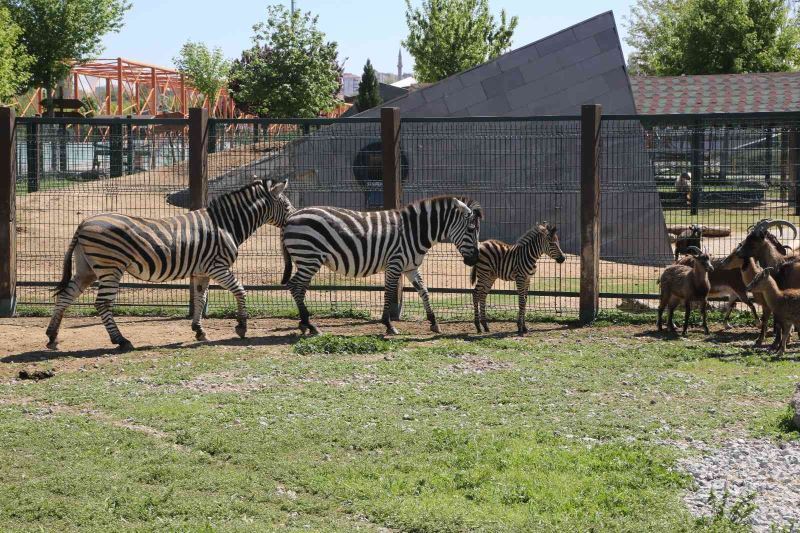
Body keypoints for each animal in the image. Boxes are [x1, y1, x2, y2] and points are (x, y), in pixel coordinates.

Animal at [44, 178, 294, 350]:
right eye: (288, 206)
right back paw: (121, 340)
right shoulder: (218, 267)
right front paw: (241, 326)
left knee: (65, 296)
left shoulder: (202, 271)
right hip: (110, 268)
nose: (293, 219)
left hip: (87, 268)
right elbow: (240, 291)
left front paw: (199, 331)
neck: (226, 225)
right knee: (102, 303)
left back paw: (52, 336)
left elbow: (200, 298)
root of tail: (83, 223)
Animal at [282, 195, 482, 334]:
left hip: (307, 259)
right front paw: (388, 324)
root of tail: (291, 218)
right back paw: (310, 324)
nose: (474, 260)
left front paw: (434, 322)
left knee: (299, 287)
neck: (414, 232)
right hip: (309, 257)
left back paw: (304, 323)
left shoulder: (411, 267)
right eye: (471, 229)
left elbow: (424, 292)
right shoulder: (395, 263)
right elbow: (389, 292)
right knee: (295, 286)